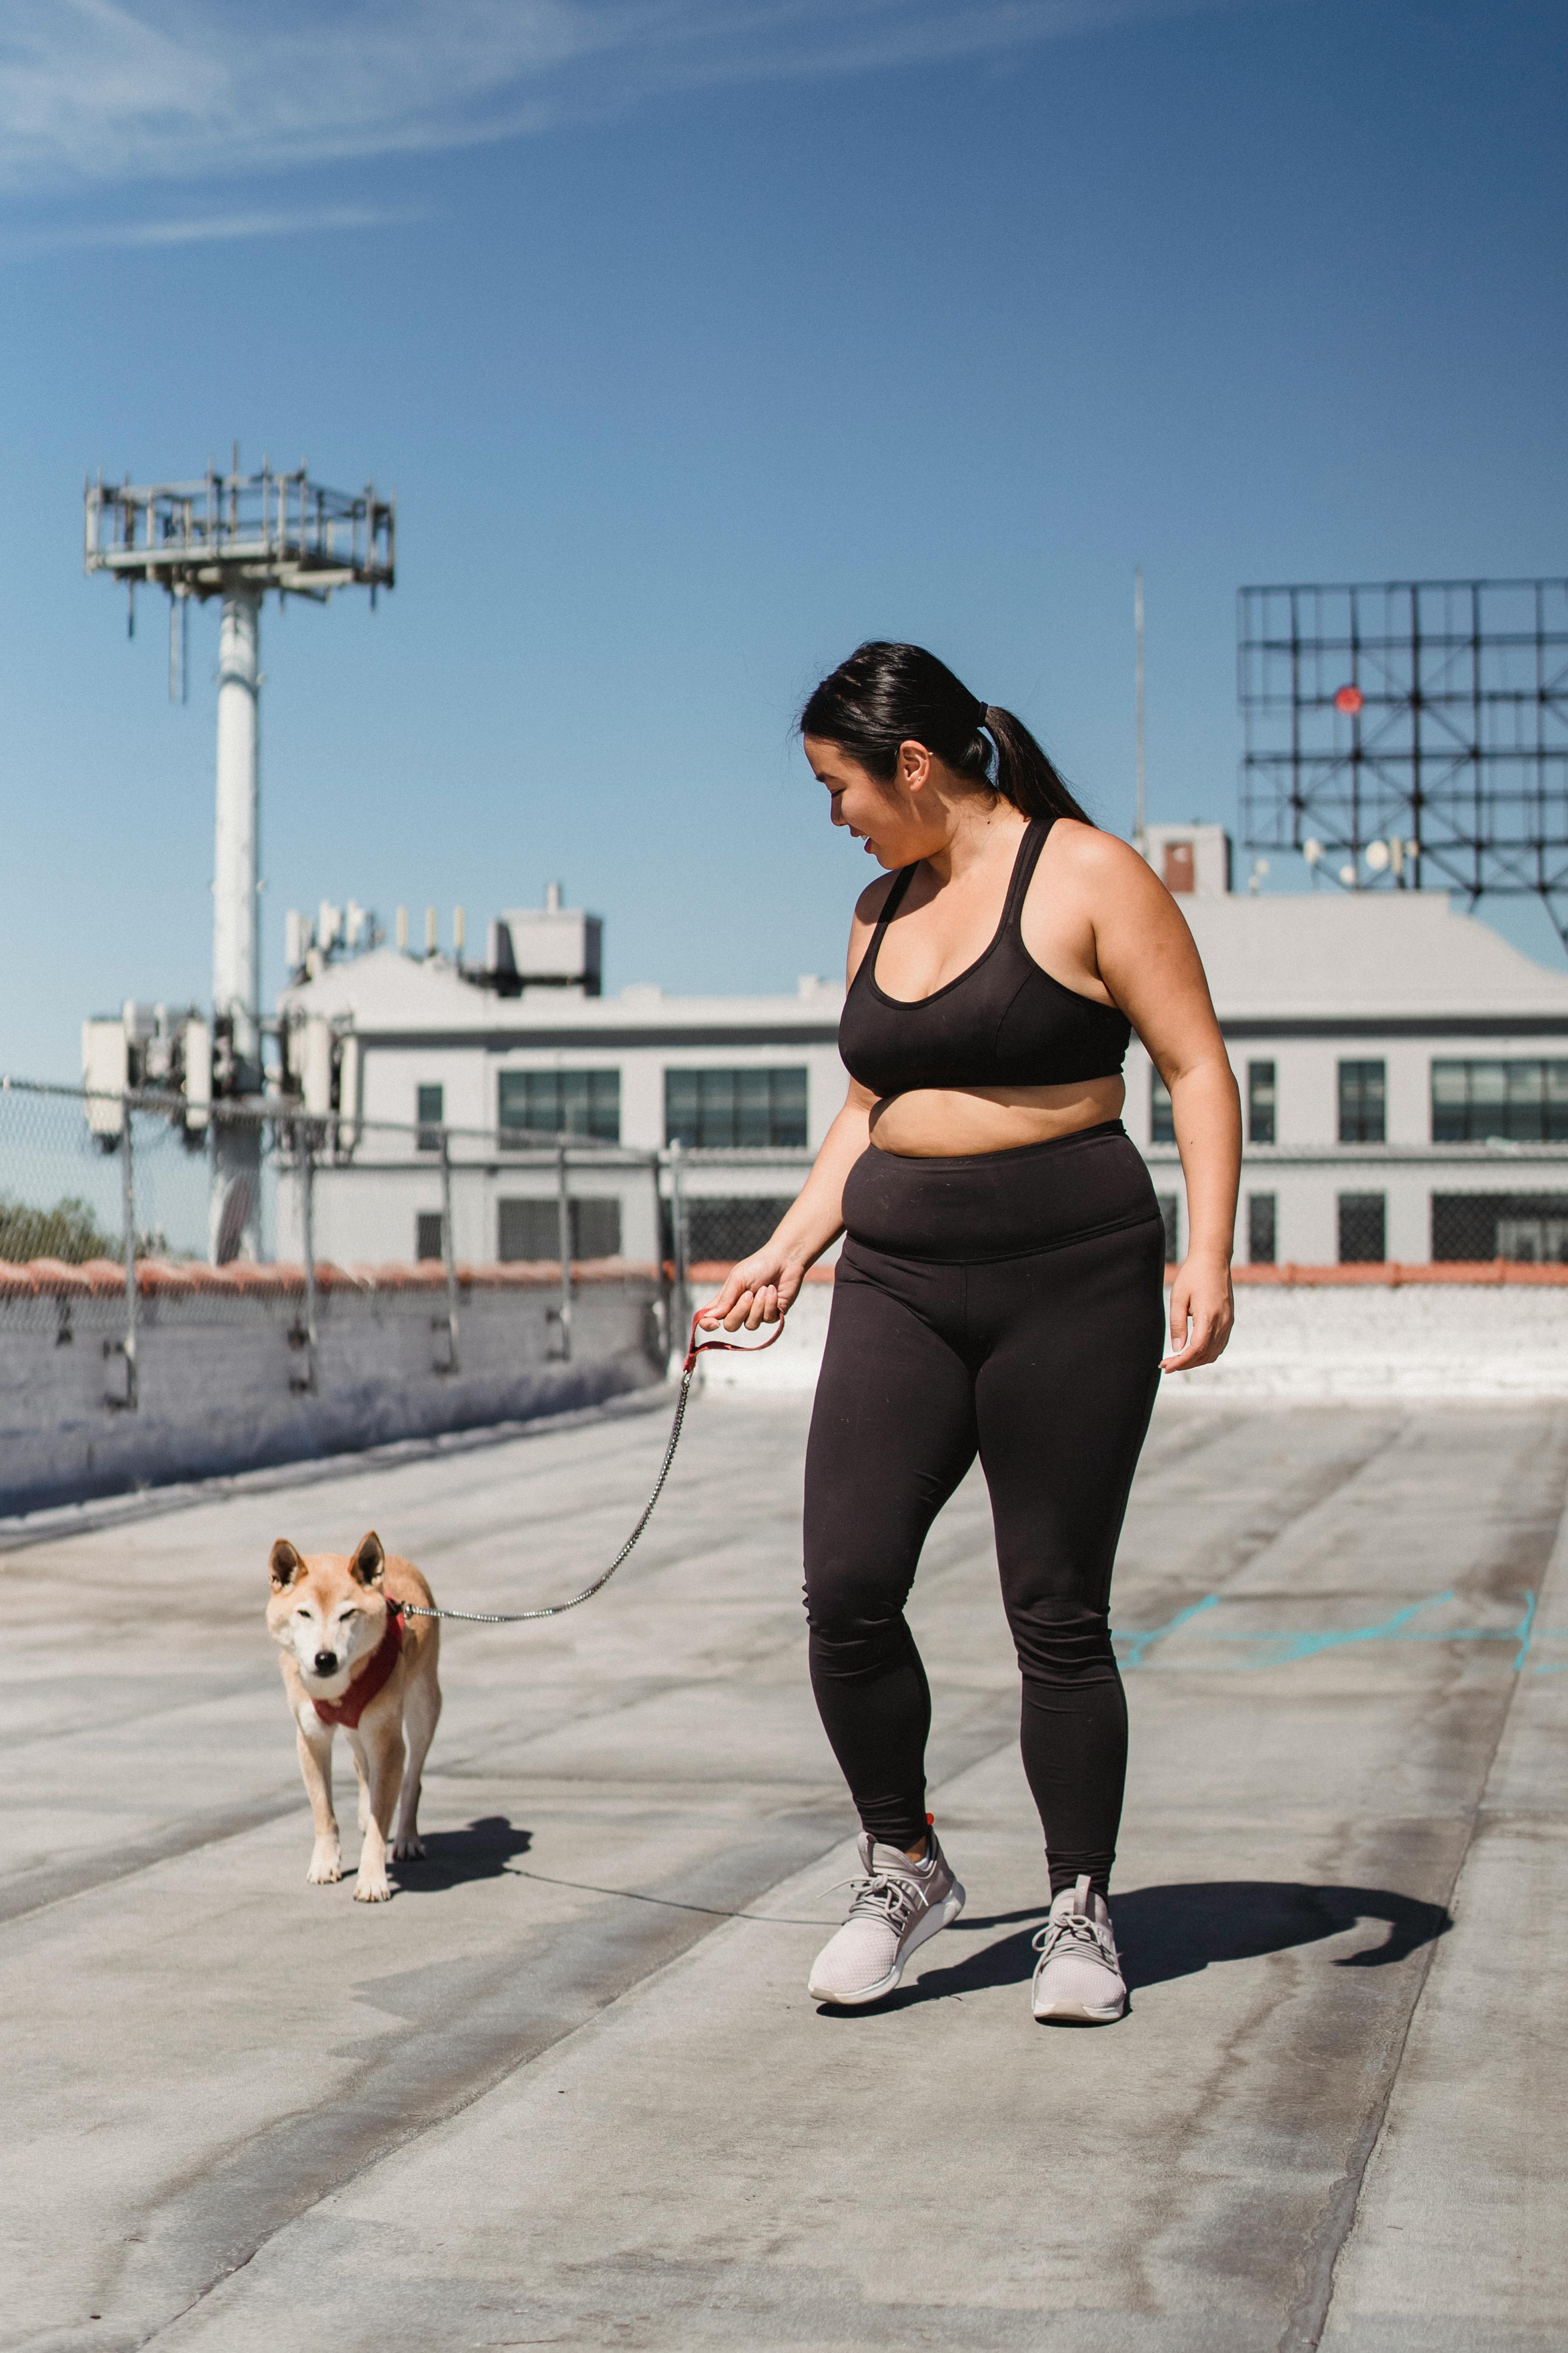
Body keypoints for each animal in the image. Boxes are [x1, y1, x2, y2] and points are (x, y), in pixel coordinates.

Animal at [267, 1534, 442, 1901]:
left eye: (348, 1614)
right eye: (304, 1613)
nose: (325, 1659)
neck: (335, 1688)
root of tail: (401, 1560)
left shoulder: (388, 1742)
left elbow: (380, 1821)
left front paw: (372, 1879)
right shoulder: (311, 1738)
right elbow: (324, 1812)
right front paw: (325, 1864)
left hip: (422, 1709)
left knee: (412, 1778)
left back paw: (407, 1838)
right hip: (358, 1729)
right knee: (362, 1765)